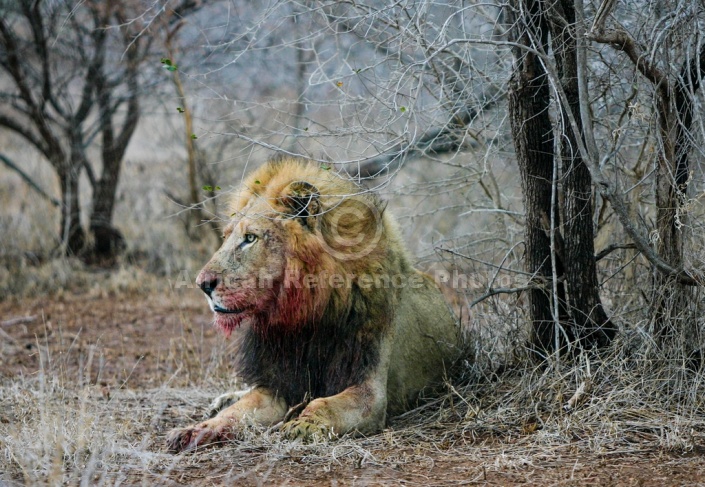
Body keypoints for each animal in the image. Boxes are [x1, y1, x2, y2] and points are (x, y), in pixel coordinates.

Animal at [167, 156, 460, 454]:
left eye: (250, 238)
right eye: (226, 236)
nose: (202, 284)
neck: (305, 314)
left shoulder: (370, 391)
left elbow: (323, 404)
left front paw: (302, 425)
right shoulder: (277, 386)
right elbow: (239, 411)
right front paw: (195, 431)